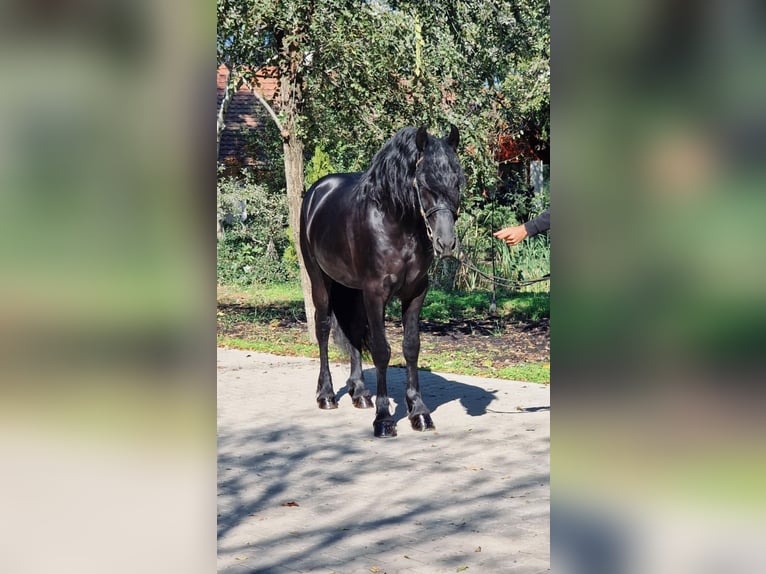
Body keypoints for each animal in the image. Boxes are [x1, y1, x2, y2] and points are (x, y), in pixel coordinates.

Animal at [300, 126, 468, 438]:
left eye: (457, 181)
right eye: (423, 183)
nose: (446, 243)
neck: (395, 223)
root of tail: (317, 192)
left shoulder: (415, 292)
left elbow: (411, 346)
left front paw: (419, 411)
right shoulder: (375, 293)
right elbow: (381, 350)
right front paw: (383, 418)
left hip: (352, 289)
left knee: (353, 329)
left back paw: (360, 393)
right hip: (321, 281)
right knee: (324, 329)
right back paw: (326, 395)